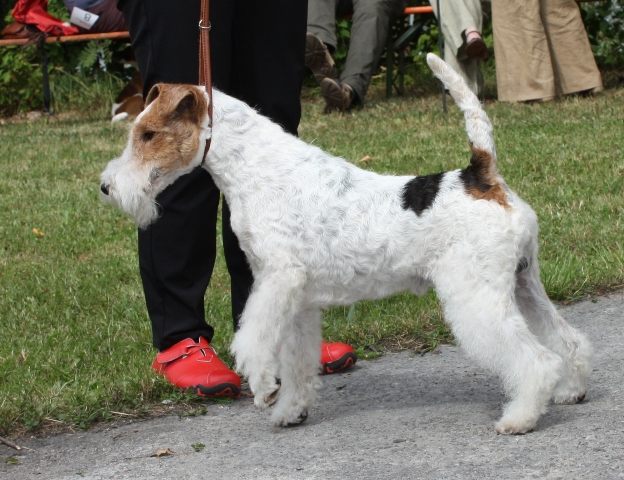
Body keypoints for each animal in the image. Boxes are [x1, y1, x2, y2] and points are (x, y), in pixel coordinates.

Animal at [101, 54, 588, 434]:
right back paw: (571, 390)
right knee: (567, 341)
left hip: (478, 294)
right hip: (523, 283)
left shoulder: (278, 279)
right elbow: (296, 358)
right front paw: (290, 411)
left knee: (535, 358)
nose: (107, 187)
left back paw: (520, 417)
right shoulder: (295, 298)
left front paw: (264, 387)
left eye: (147, 134)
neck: (255, 169)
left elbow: (255, 338)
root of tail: (482, 176)